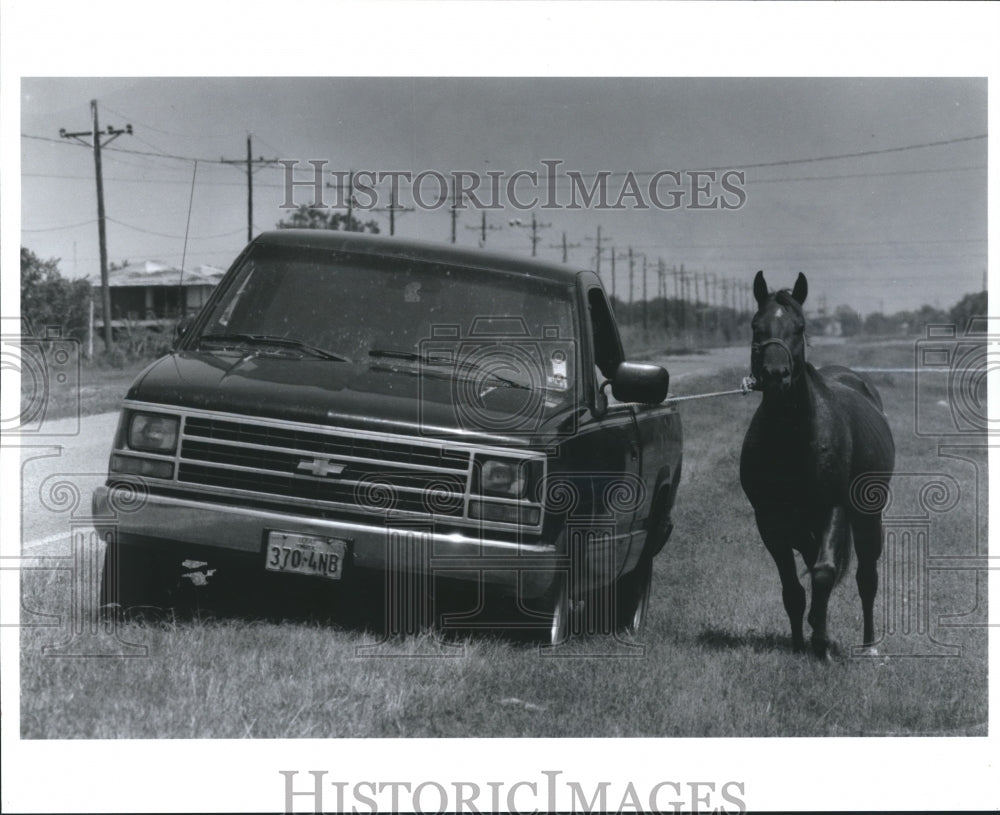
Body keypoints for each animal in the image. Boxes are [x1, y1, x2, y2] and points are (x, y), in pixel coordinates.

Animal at [739, 271, 895, 659]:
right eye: (755, 326)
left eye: (801, 326)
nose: (776, 374)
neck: (794, 439)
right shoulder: (770, 522)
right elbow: (794, 589)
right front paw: (801, 642)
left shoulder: (834, 507)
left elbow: (824, 573)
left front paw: (823, 641)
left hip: (868, 518)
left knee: (866, 578)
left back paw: (869, 644)